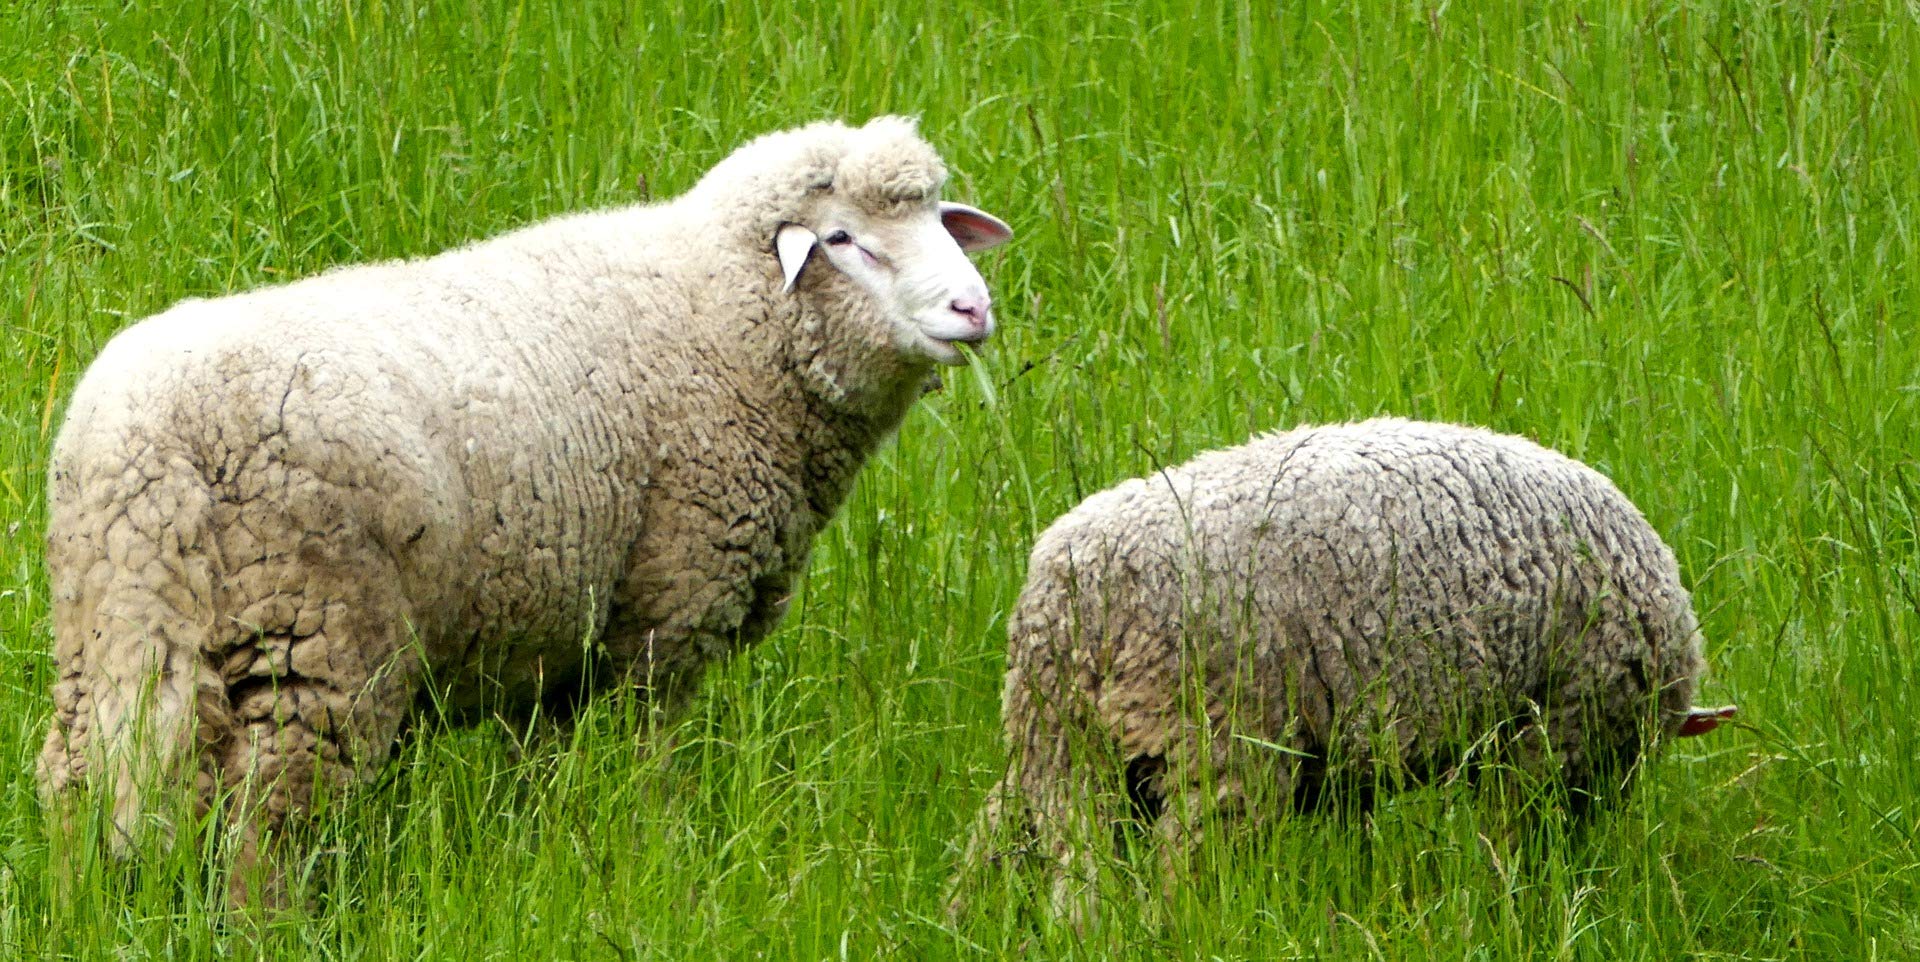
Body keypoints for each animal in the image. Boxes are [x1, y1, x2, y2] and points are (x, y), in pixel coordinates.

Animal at [37, 115, 1012, 903]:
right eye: (845, 239)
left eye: (939, 220)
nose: (975, 308)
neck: (717, 313)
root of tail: (142, 446)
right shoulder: (668, 613)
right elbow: (646, 764)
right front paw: (651, 858)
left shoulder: (554, 638)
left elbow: (544, 773)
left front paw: (545, 849)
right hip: (315, 637)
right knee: (268, 824)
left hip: (109, 635)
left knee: (75, 785)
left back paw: (77, 910)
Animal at [962, 418, 1730, 913]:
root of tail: (1082, 588)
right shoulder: (1548, 741)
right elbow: (1508, 838)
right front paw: (1518, 900)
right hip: (1219, 743)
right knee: (1180, 868)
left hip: (1057, 740)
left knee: (1038, 856)